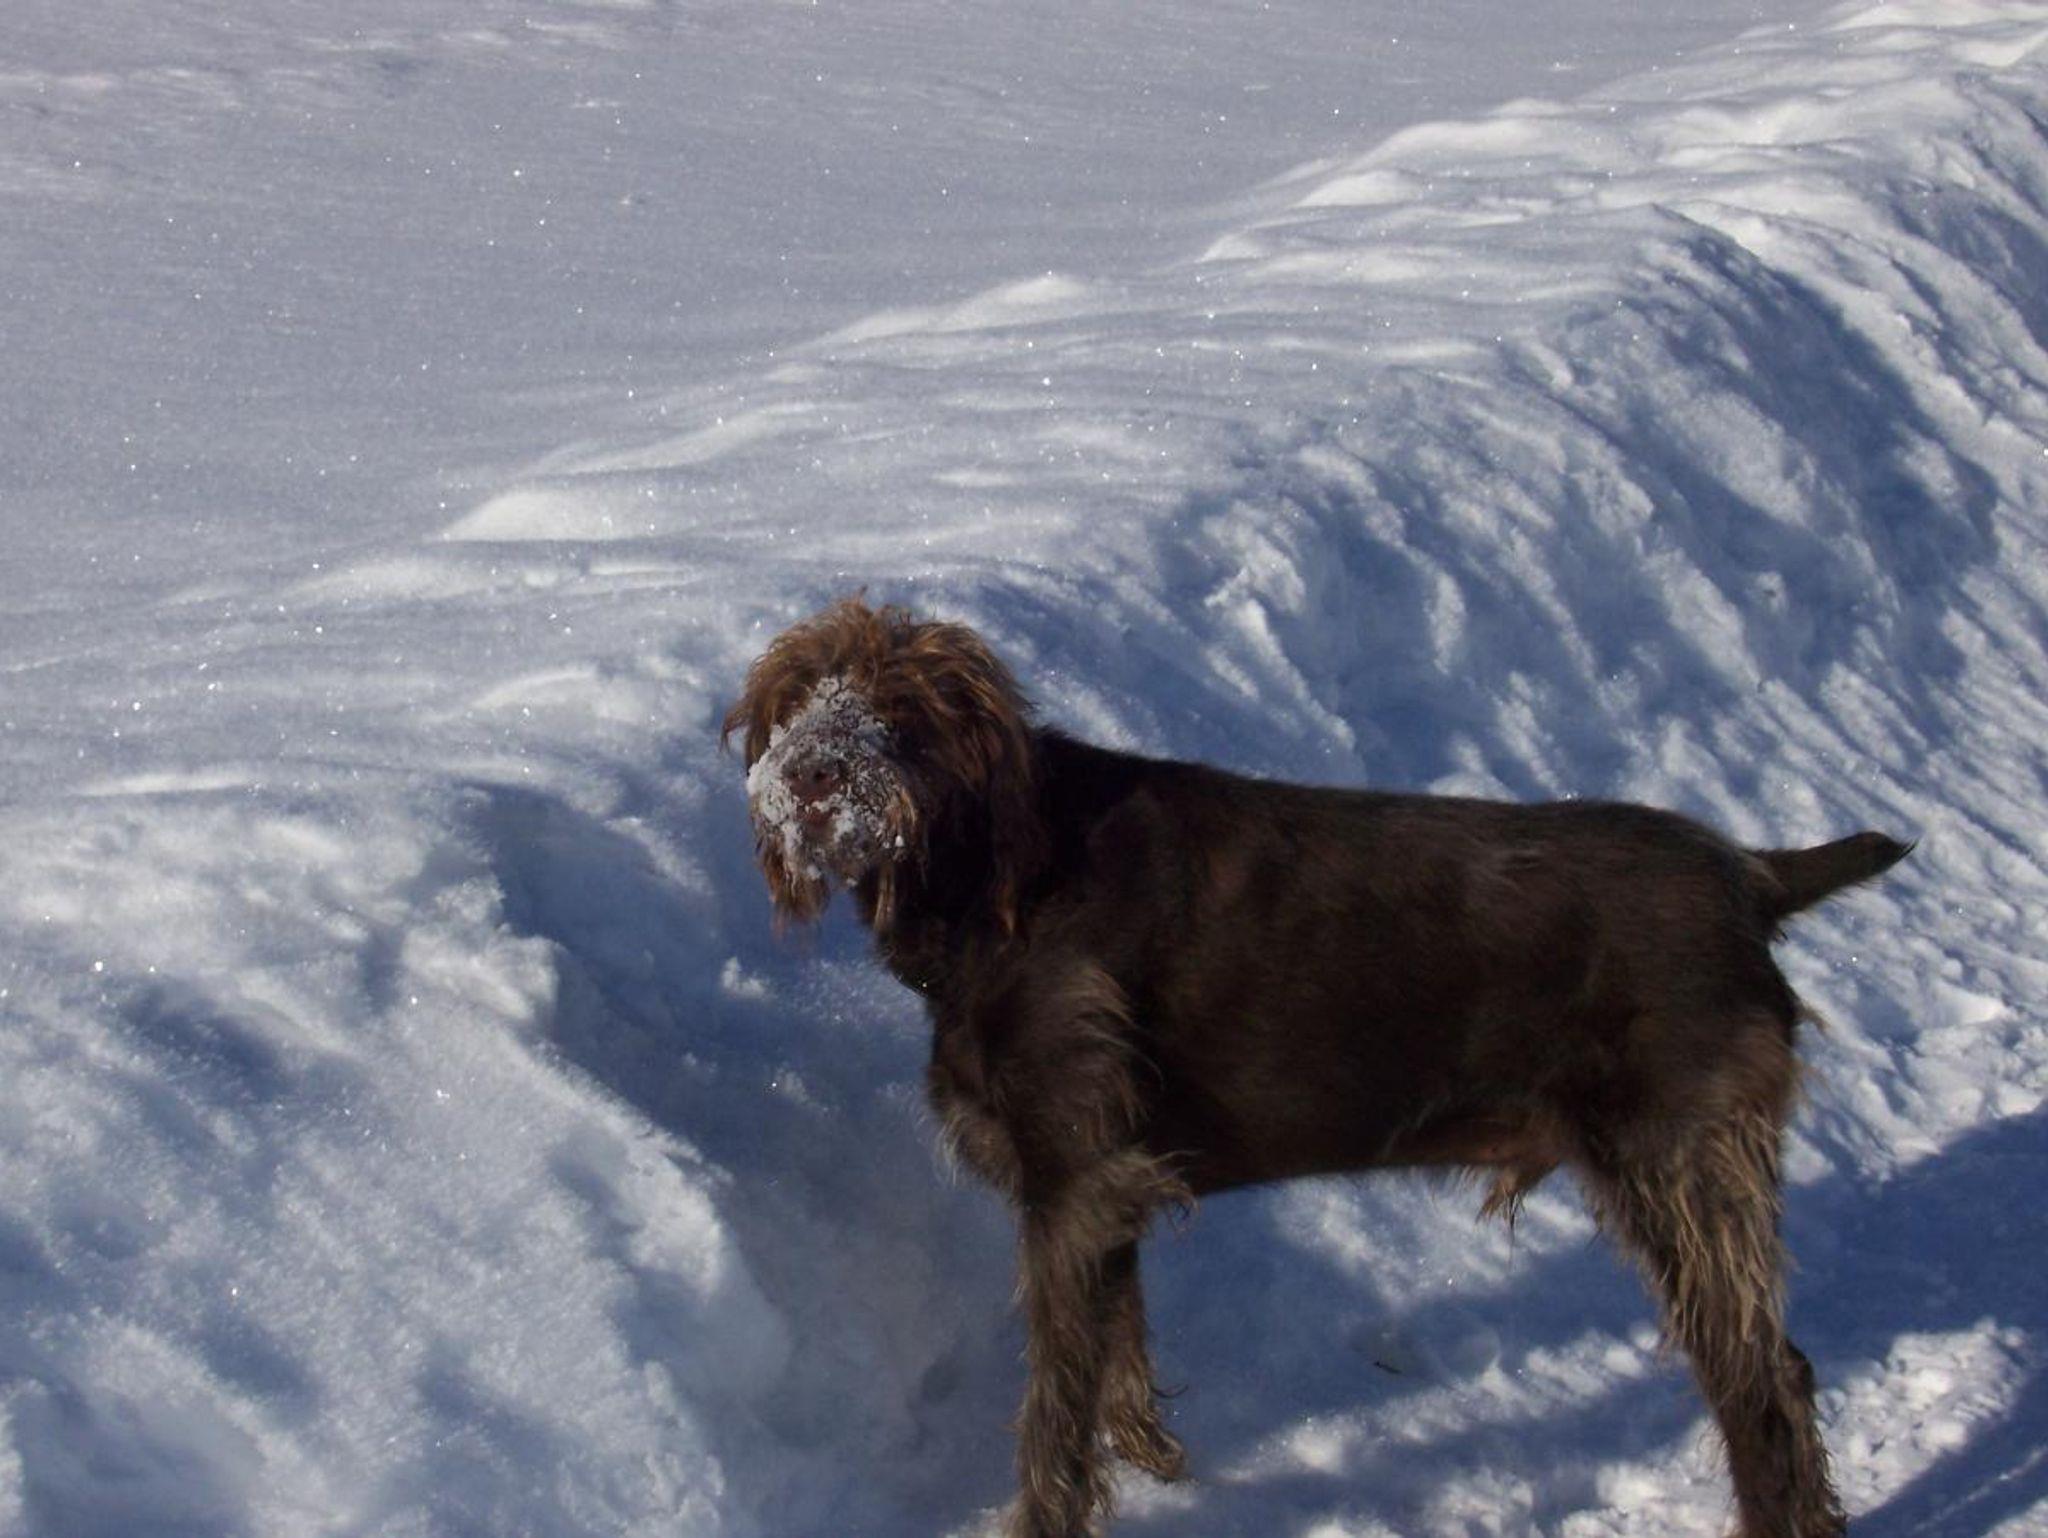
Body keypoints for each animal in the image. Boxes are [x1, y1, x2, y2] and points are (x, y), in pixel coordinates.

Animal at [725, 597, 1910, 1538]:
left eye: (904, 709)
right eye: (799, 698)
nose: (815, 772)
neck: (987, 876)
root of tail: (1745, 875)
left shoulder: (1072, 1184)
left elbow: (1055, 1409)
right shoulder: (1109, 1193)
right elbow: (1119, 1360)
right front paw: (1157, 1468)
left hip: (1680, 1169)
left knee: (1763, 1382)